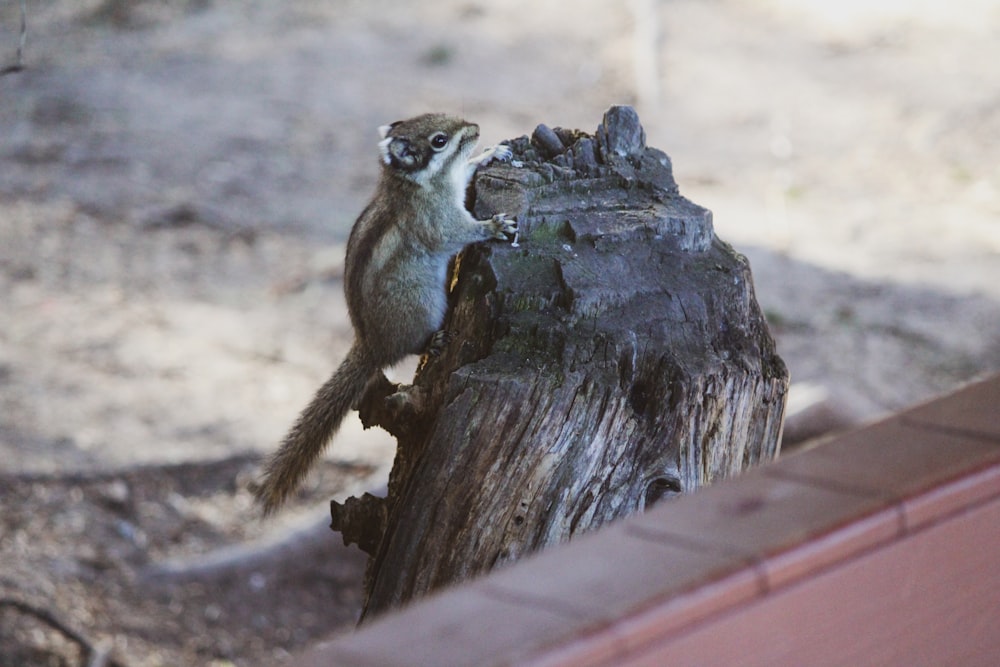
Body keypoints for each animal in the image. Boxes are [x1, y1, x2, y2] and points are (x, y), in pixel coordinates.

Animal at [254, 112, 520, 516]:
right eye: (439, 140)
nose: (475, 128)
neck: (417, 184)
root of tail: (369, 345)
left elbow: (469, 169)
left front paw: (491, 153)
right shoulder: (439, 221)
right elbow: (458, 233)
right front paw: (493, 226)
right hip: (421, 305)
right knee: (408, 347)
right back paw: (432, 341)